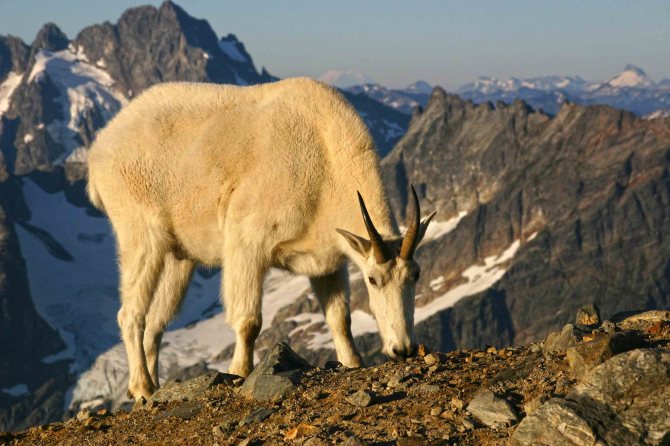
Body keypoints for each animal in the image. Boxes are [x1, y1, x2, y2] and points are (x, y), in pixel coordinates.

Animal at [87, 78, 435, 401]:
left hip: (178, 257)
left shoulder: (327, 261)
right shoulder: (247, 241)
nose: (403, 349)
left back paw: (151, 385)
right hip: (140, 235)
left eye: (416, 275)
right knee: (131, 314)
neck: (324, 160)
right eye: (373, 280)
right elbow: (249, 320)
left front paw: (353, 363)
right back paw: (142, 388)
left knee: (156, 324)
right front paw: (239, 371)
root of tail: (100, 147)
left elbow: (340, 318)